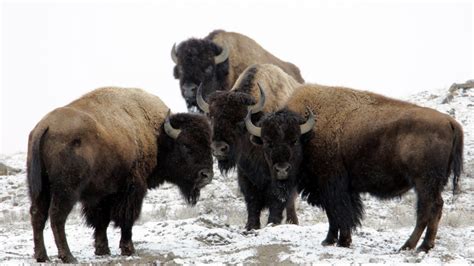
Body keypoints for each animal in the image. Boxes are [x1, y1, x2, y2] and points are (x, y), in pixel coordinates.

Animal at [27, 88, 213, 264]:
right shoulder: (132, 189)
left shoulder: (102, 195)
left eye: (209, 144)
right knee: (57, 217)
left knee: (38, 215)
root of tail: (45, 127)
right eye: (186, 146)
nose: (206, 175)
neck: (157, 135)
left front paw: (102, 250)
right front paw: (128, 249)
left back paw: (42, 256)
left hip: (40, 189)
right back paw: (68, 257)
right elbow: (126, 219)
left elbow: (101, 221)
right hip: (66, 191)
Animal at [198, 63, 302, 230]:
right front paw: (251, 226)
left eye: (240, 120)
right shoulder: (245, 174)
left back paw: (293, 222)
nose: (219, 148)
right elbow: (252, 200)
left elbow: (277, 199)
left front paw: (272, 223)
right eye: (212, 117)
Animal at [246, 83, 464, 251]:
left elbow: (339, 213)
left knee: (427, 210)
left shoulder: (332, 187)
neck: (309, 133)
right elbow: (337, 214)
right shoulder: (338, 190)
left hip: (424, 183)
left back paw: (411, 246)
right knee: (435, 208)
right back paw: (423, 246)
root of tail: (450, 121)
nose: (282, 170)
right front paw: (332, 241)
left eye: (294, 141)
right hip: (431, 184)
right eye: (268, 142)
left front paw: (339, 241)